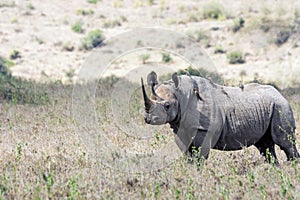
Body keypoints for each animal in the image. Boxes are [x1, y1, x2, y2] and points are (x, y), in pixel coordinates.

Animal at [141, 70, 300, 162]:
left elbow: (200, 158)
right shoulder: (181, 129)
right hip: (269, 107)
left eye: (167, 106)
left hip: (281, 106)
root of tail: (281, 95)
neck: (180, 95)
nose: (148, 119)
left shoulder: (204, 130)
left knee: (285, 143)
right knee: (265, 147)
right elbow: (188, 157)